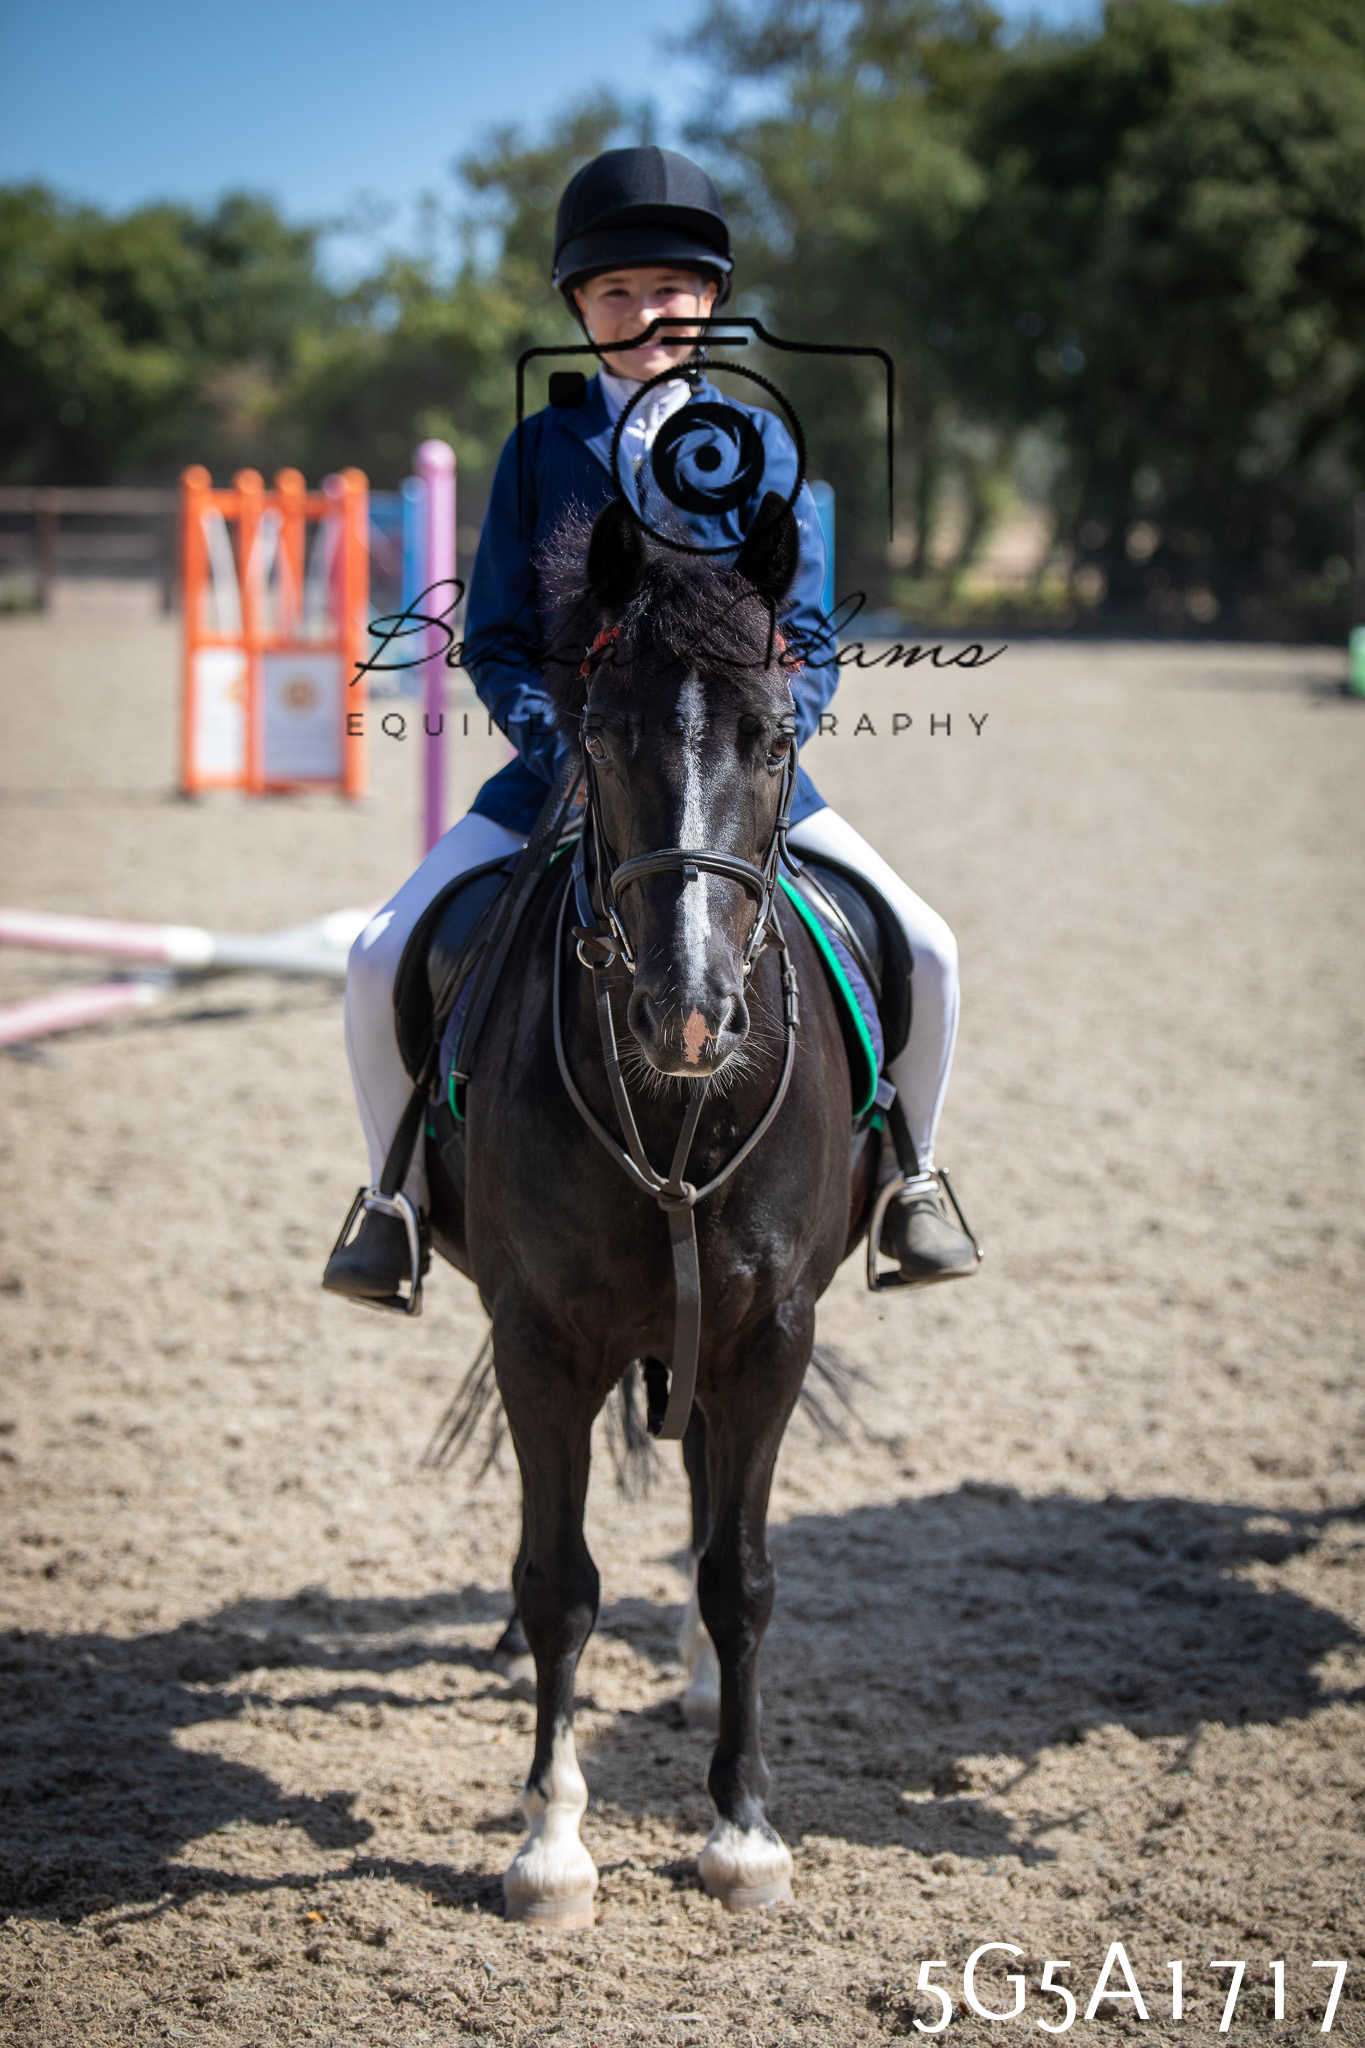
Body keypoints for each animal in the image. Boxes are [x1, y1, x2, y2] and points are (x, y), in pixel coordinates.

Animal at [424, 489, 879, 1925]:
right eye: (602, 733)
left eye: (775, 733)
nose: (688, 1013)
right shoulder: (537, 1339)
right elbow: (558, 1580)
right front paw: (550, 1840)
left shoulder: (771, 1333)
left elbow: (741, 1574)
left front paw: (742, 1828)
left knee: (705, 1500)